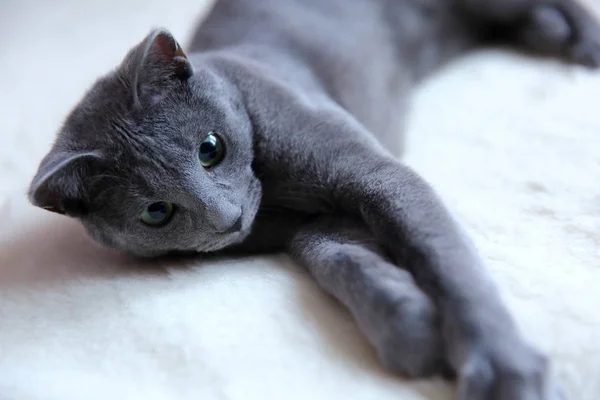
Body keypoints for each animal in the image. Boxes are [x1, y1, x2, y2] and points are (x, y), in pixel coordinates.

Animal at [27, 0, 600, 398]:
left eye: (210, 149)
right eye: (156, 212)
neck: (275, 202)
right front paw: (409, 325)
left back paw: (584, 40)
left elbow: (446, 261)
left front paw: (507, 371)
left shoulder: (381, 176)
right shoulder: (320, 225)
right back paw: (549, 31)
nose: (227, 218)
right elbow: (334, 256)